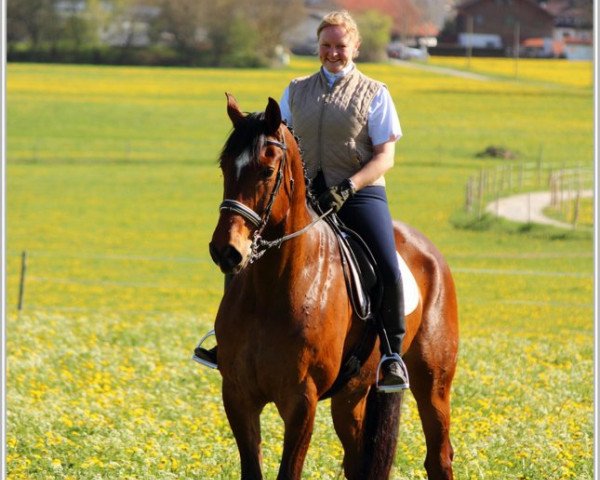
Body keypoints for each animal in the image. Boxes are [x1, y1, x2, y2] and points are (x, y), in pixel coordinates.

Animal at [207, 94, 460, 480]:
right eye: (224, 167)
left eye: (267, 170)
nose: (226, 250)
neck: (271, 289)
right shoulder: (238, 395)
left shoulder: (301, 401)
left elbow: (289, 471)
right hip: (352, 395)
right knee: (358, 460)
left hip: (432, 383)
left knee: (438, 456)